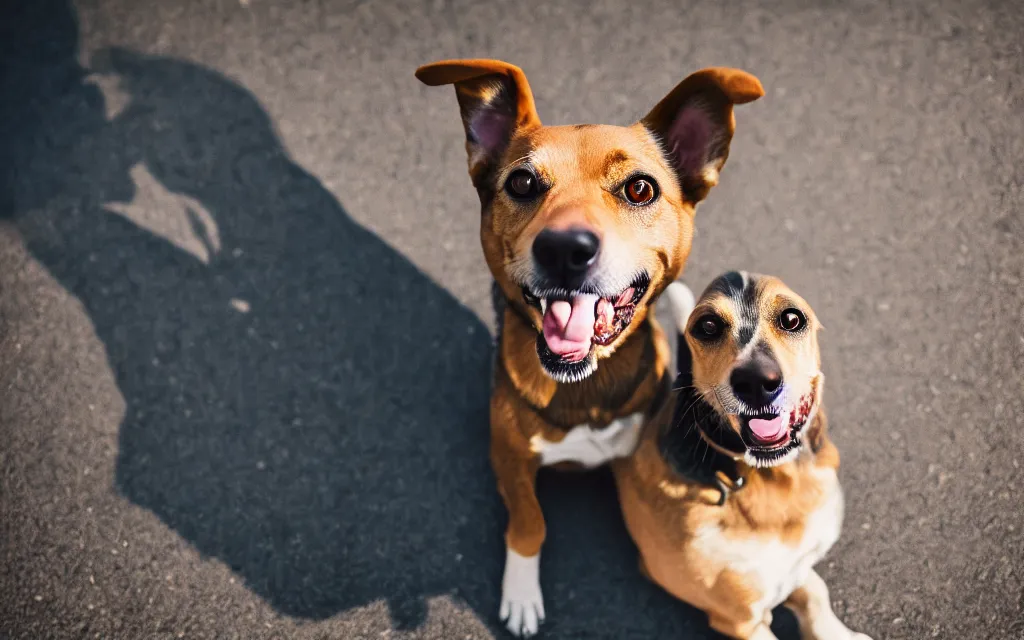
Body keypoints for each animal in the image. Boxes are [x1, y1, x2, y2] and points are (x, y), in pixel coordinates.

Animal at [413, 61, 761, 634]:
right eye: (522, 182)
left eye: (639, 189)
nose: (564, 249)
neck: (584, 386)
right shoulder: (507, 453)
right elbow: (529, 522)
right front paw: (522, 594)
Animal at [610, 270, 876, 638]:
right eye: (707, 326)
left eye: (792, 319)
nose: (756, 382)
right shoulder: (742, 619)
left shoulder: (793, 569)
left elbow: (815, 592)